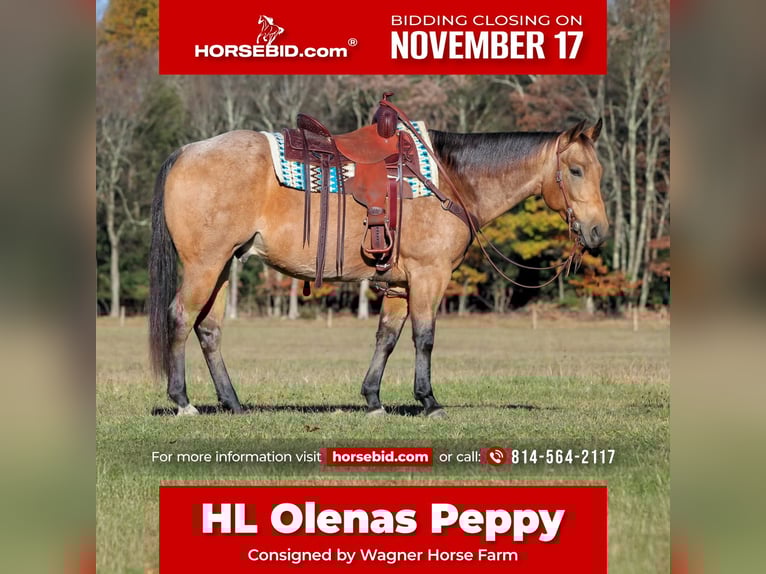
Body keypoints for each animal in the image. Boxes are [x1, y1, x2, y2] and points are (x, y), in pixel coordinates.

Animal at [148, 116, 607, 418]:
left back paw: (233, 402)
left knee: (209, 329)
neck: (450, 179)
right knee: (181, 317)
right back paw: (182, 401)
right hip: (205, 265)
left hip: (223, 265)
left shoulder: (401, 284)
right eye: (575, 170)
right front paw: (429, 401)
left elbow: (387, 338)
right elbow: (424, 338)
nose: (598, 231)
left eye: (598, 170)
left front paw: (372, 399)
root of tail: (187, 151)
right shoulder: (429, 275)